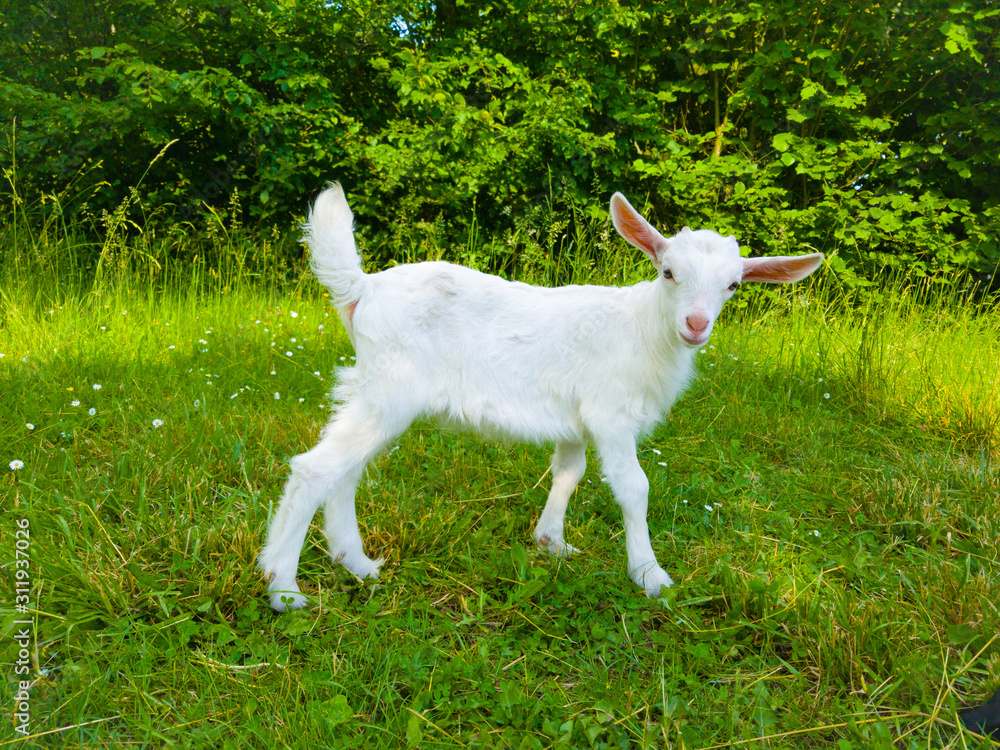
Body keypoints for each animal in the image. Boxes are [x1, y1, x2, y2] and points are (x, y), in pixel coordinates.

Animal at [258, 184, 820, 612]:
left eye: (733, 286)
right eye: (668, 273)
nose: (697, 325)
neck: (643, 329)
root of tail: (361, 289)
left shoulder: (575, 418)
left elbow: (569, 472)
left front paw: (551, 542)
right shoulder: (610, 412)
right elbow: (633, 487)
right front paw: (649, 575)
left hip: (373, 389)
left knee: (345, 469)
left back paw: (356, 565)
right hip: (392, 387)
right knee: (316, 468)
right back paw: (284, 589)